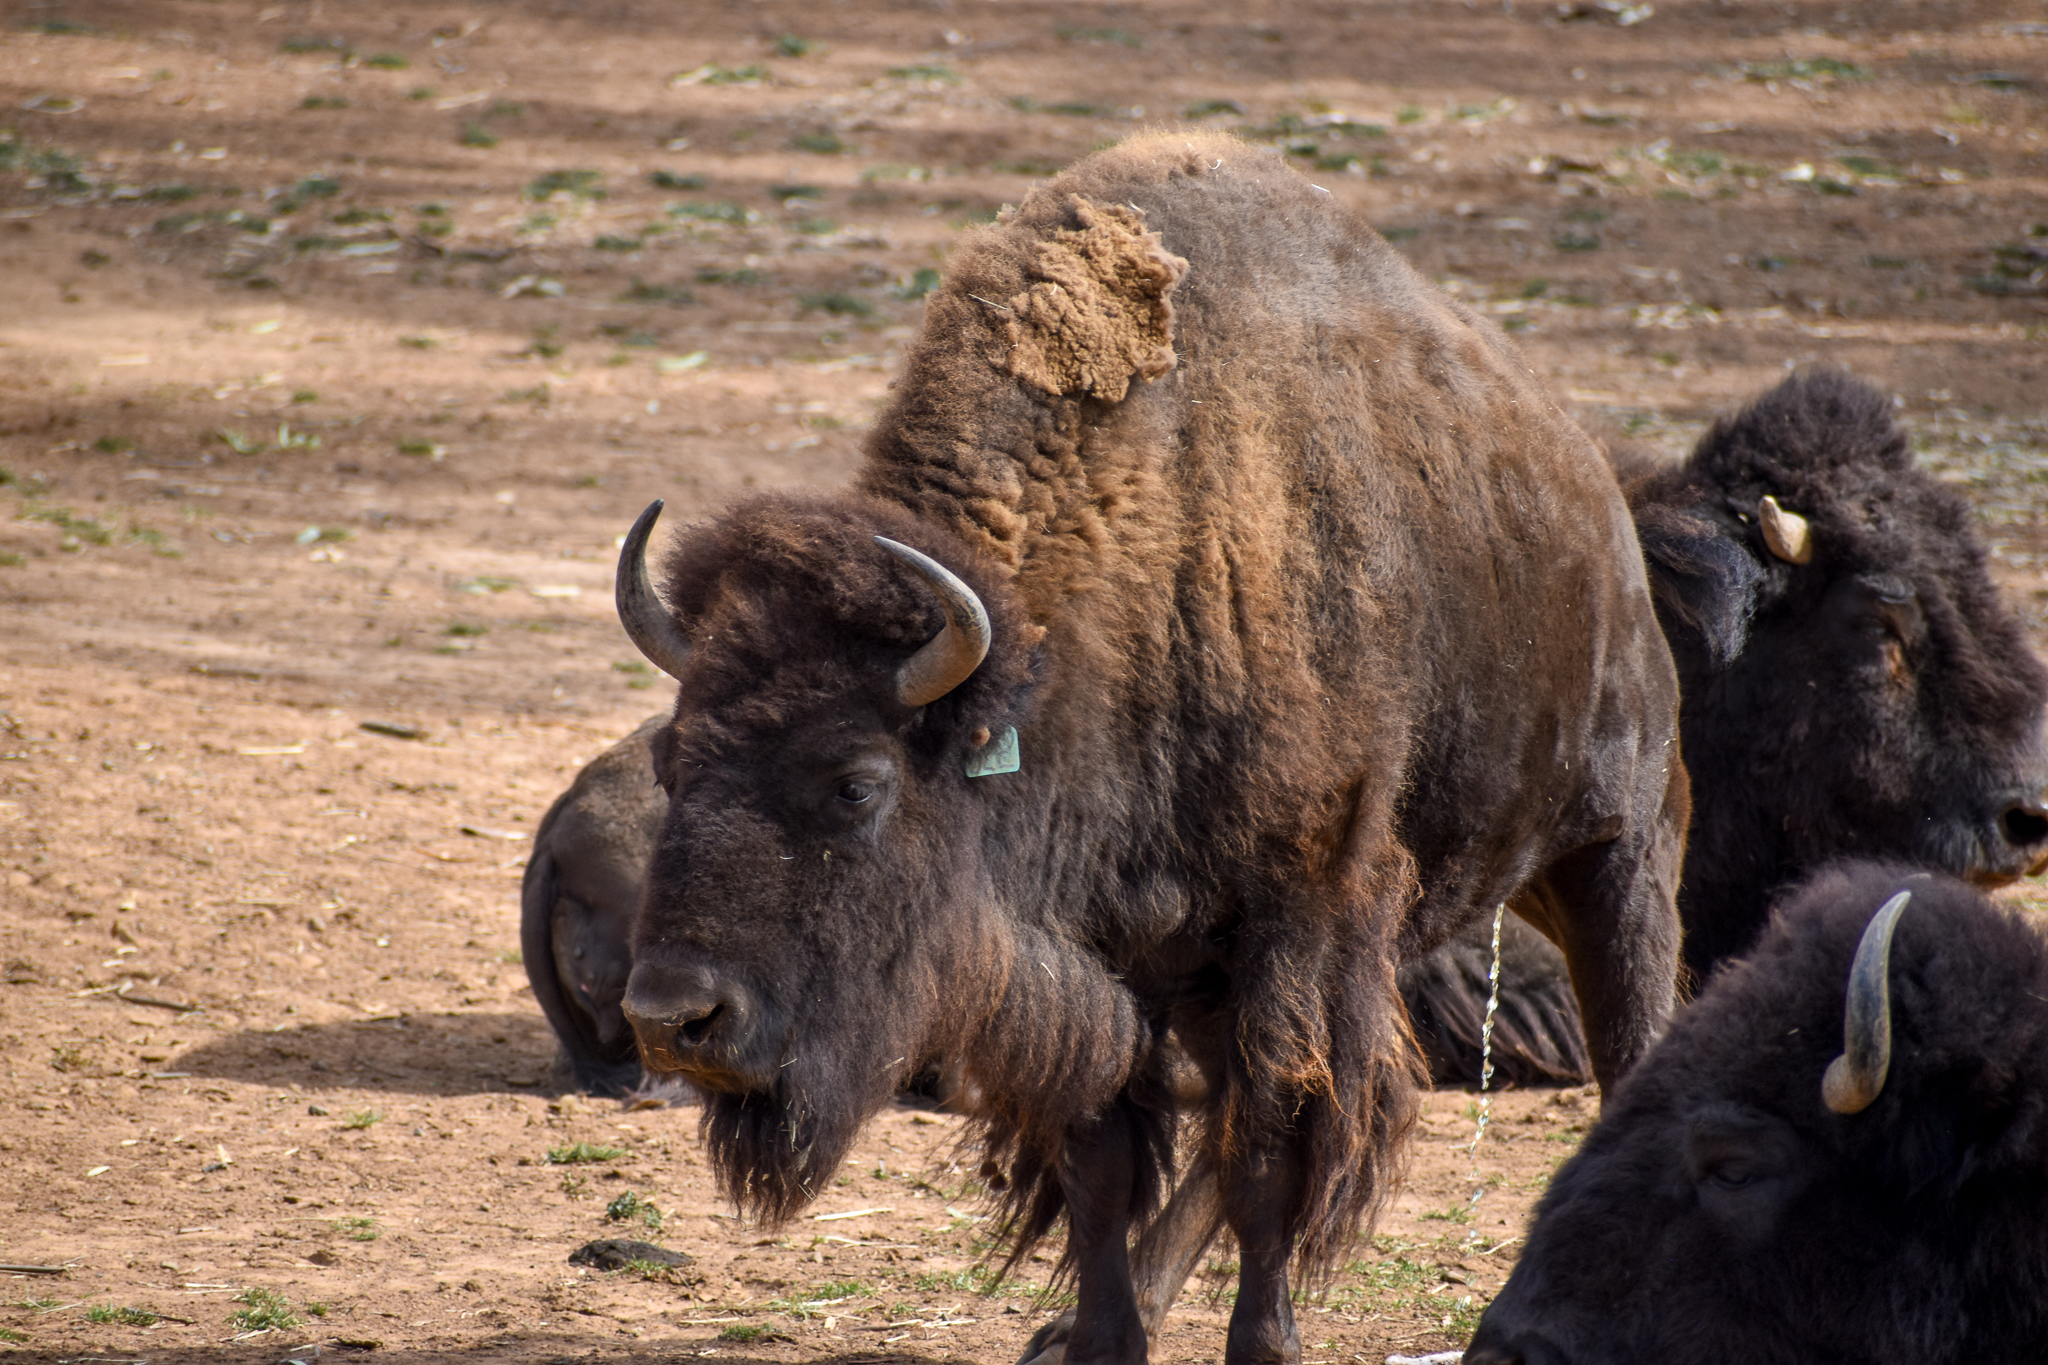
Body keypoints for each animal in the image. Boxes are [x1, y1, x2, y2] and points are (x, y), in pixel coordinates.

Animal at [612, 131, 1686, 1365]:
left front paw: (1262, 1343)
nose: (672, 1018)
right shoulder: (1105, 975)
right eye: (668, 764)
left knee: (1633, 1041)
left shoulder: (1294, 933)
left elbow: (1268, 1154)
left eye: (857, 783)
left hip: (1615, 851)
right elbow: (1107, 1172)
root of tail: (1594, 496)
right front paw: (1094, 1337)